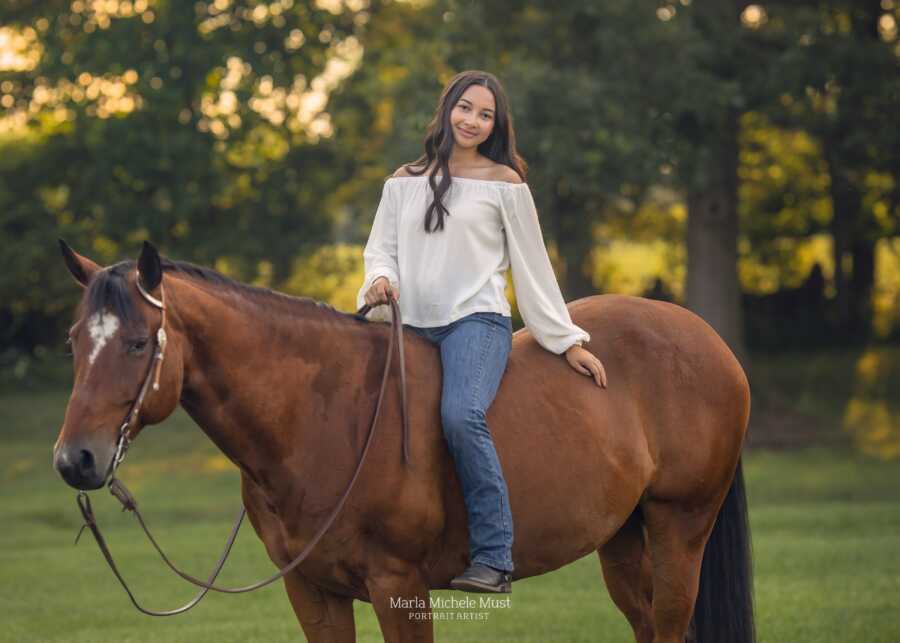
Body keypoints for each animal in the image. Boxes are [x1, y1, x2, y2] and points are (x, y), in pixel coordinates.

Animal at [54, 243, 752, 643]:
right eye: (74, 340)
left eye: (137, 344)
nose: (75, 459)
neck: (323, 418)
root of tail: (706, 338)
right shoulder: (313, 594)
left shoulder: (400, 588)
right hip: (623, 538)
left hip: (680, 527)